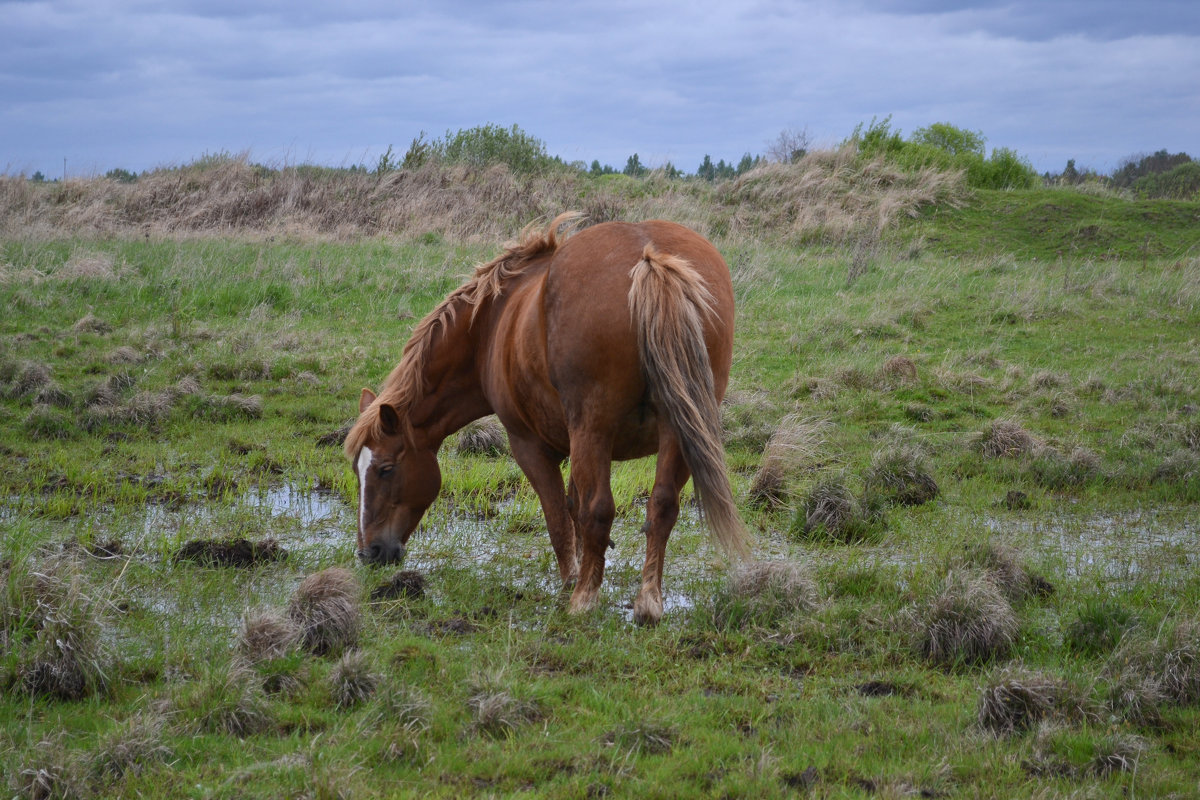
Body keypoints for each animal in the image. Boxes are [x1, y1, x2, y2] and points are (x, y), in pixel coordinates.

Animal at [343, 212, 744, 623]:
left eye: (386, 469)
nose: (368, 553)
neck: (491, 325)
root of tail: (649, 256)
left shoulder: (528, 444)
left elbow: (559, 516)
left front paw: (572, 581)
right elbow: (575, 508)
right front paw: (588, 571)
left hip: (594, 430)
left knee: (601, 510)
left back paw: (582, 600)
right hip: (675, 432)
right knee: (661, 506)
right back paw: (648, 603)